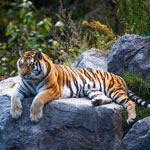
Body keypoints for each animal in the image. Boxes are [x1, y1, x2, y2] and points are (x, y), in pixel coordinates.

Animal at [10, 49, 150, 125]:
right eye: (21, 64)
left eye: (30, 65)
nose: (22, 74)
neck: (33, 80)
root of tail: (120, 77)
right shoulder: (20, 87)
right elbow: (13, 97)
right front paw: (15, 113)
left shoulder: (51, 90)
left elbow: (37, 99)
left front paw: (35, 117)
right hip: (93, 90)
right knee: (107, 99)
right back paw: (96, 102)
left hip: (114, 90)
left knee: (130, 102)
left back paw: (131, 118)